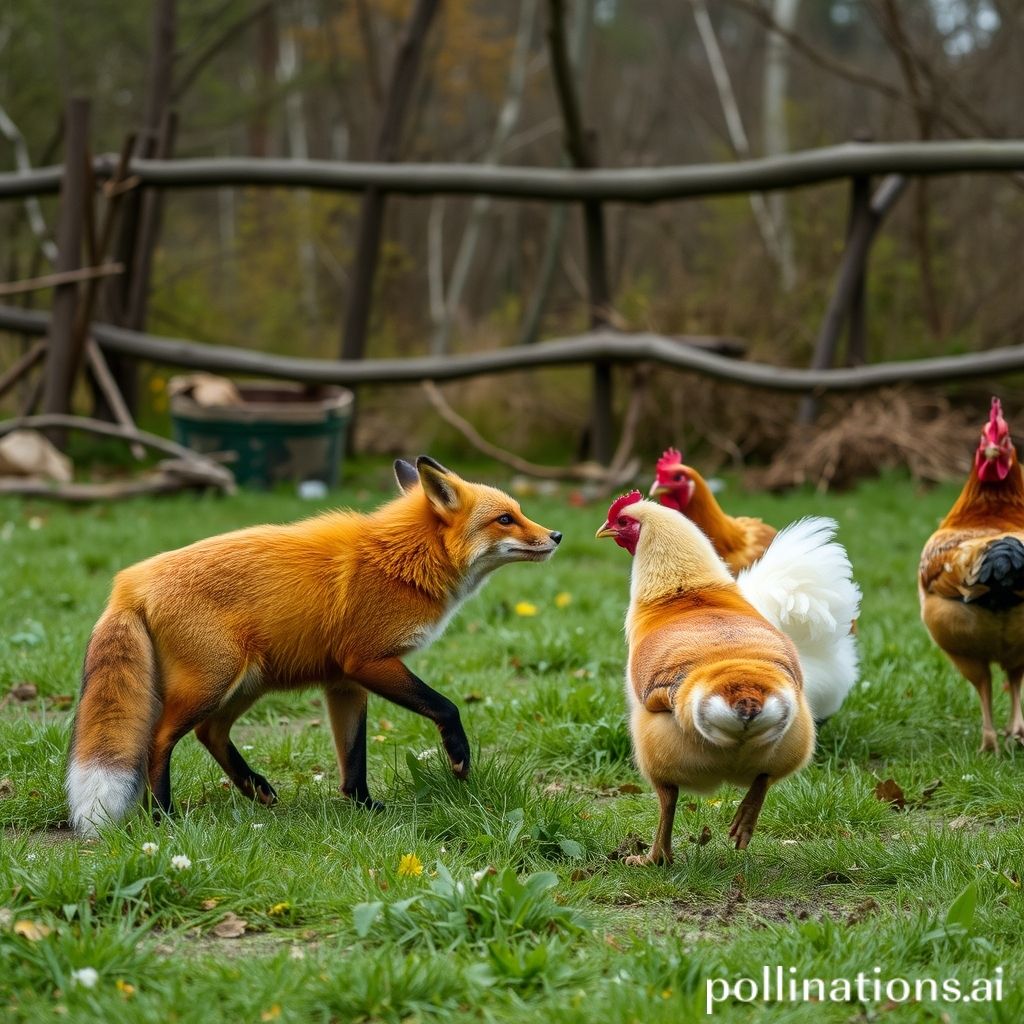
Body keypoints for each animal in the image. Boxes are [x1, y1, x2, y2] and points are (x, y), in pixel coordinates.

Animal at [66, 456, 562, 835]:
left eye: (519, 512)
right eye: (505, 519)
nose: (556, 536)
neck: (405, 560)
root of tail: (129, 583)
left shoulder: (345, 682)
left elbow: (353, 759)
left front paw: (365, 809)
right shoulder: (369, 662)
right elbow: (446, 707)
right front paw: (458, 757)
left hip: (247, 683)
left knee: (211, 733)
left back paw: (253, 787)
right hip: (213, 683)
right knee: (158, 740)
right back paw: (162, 816)